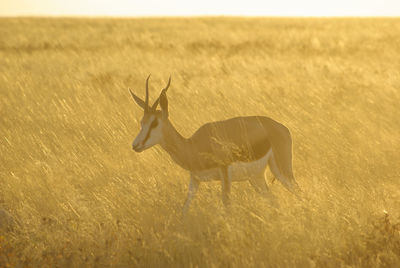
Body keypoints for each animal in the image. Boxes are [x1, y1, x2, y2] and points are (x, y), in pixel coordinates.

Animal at [130, 75, 302, 214]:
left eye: (155, 123)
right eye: (142, 121)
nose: (135, 145)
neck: (193, 146)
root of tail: (282, 127)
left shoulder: (224, 172)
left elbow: (227, 205)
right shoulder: (195, 179)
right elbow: (185, 208)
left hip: (282, 171)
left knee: (298, 192)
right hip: (256, 177)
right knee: (274, 201)